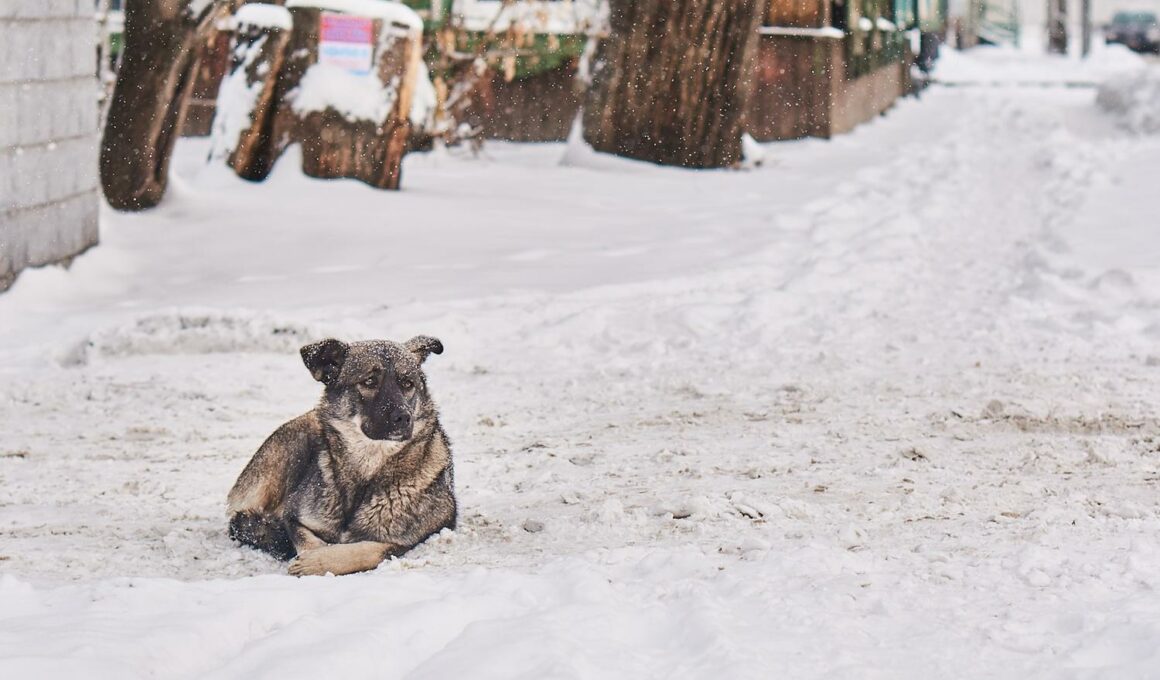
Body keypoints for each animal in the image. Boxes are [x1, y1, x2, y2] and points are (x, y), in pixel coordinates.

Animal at [226, 334, 457, 570]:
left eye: (408, 383)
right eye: (369, 382)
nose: (403, 417)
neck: (366, 470)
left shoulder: (405, 541)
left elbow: (368, 550)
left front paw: (315, 562)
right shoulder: (293, 517)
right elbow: (306, 539)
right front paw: (310, 555)